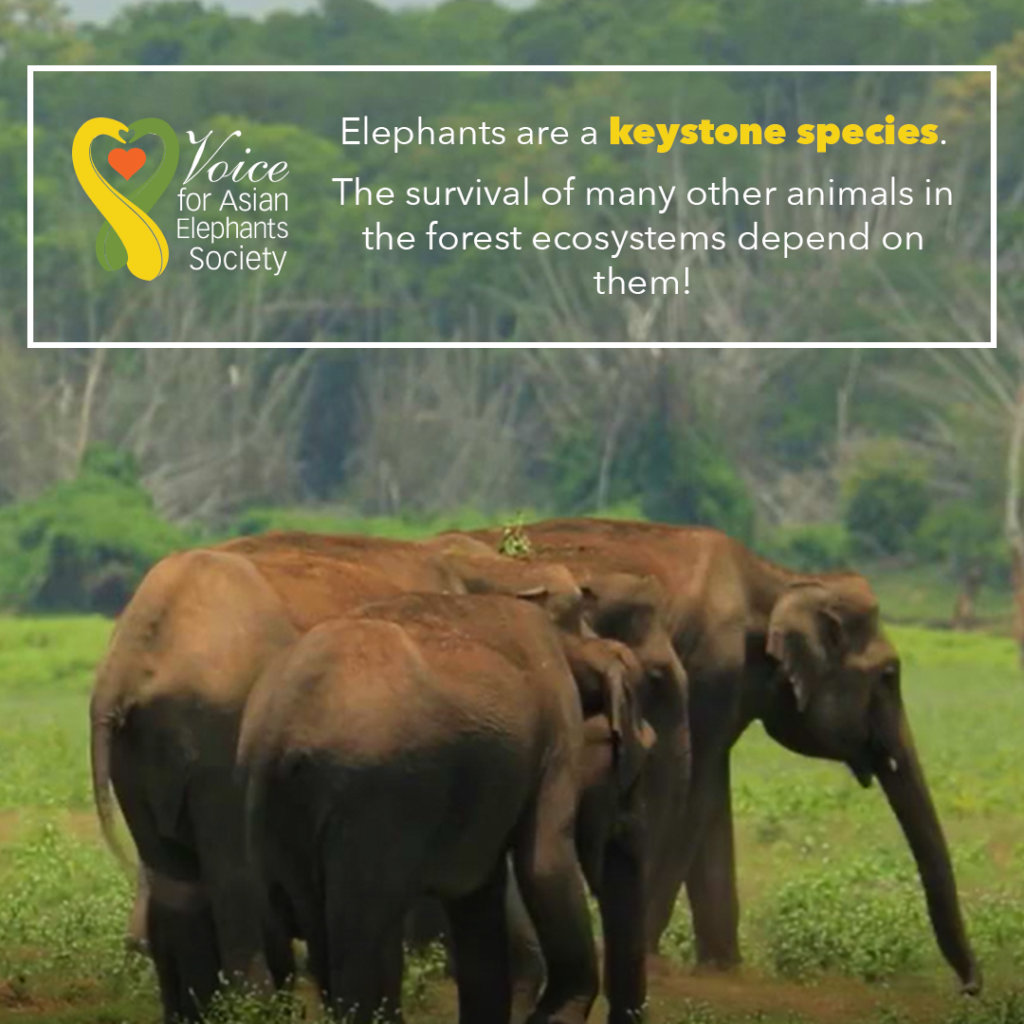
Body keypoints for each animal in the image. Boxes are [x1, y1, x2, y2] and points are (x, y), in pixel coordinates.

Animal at [238, 592, 661, 1024]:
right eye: (642, 767)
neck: (576, 645)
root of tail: (283, 731)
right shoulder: (558, 734)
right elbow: (544, 865)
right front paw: (553, 1016)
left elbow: (477, 897)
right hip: (370, 805)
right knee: (357, 943)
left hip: (269, 809)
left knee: (310, 934)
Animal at [462, 517, 981, 995]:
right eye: (889, 675)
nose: (970, 988)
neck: (779, 580)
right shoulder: (712, 670)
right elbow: (696, 793)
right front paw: (655, 962)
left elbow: (712, 798)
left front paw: (722, 969)